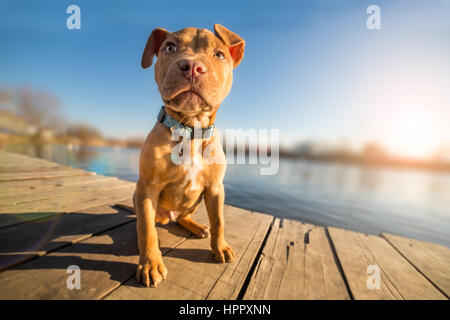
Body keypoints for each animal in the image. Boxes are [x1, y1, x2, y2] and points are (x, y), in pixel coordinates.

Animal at [134, 24, 244, 288]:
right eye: (169, 48)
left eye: (219, 55)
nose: (192, 66)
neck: (190, 130)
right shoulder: (146, 188)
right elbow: (146, 229)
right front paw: (150, 264)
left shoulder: (215, 188)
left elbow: (219, 221)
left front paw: (220, 248)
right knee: (148, 223)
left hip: (195, 202)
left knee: (184, 217)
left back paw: (196, 227)